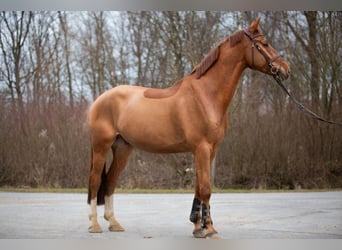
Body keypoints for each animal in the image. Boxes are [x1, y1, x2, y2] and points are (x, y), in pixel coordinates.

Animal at [87, 18, 290, 238]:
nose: (285, 69)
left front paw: (198, 227)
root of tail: (99, 100)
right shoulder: (201, 148)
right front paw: (209, 229)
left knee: (110, 181)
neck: (205, 95)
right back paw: (94, 225)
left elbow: (199, 188)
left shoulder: (209, 150)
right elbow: (206, 189)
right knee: (95, 180)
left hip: (123, 148)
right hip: (101, 146)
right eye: (265, 44)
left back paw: (113, 222)